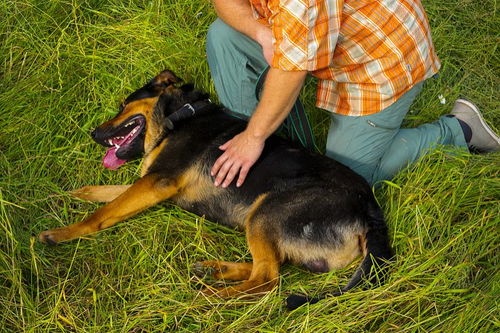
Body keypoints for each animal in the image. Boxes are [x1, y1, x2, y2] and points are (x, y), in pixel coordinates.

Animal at [37, 68, 392, 308]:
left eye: (125, 104)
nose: (94, 134)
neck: (181, 115)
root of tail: (371, 211)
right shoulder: (150, 184)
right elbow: (103, 193)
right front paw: (65, 194)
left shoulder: (158, 180)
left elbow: (102, 212)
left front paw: (62, 233)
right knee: (270, 267)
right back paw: (215, 270)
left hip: (267, 210)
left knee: (267, 279)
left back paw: (211, 295)